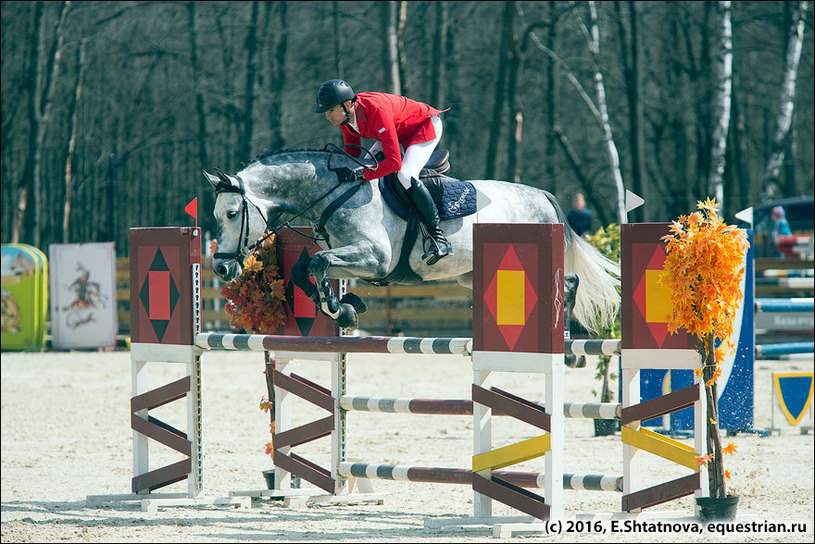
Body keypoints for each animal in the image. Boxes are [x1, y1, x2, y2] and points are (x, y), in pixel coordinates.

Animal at [202, 147, 620, 338]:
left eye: (233, 213)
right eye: (216, 215)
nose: (221, 267)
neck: (335, 193)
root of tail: (542, 195)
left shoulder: (373, 258)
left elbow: (318, 262)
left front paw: (340, 308)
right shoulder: (351, 257)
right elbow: (308, 267)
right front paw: (347, 305)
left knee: (568, 282)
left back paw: (565, 339)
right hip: (473, 273)